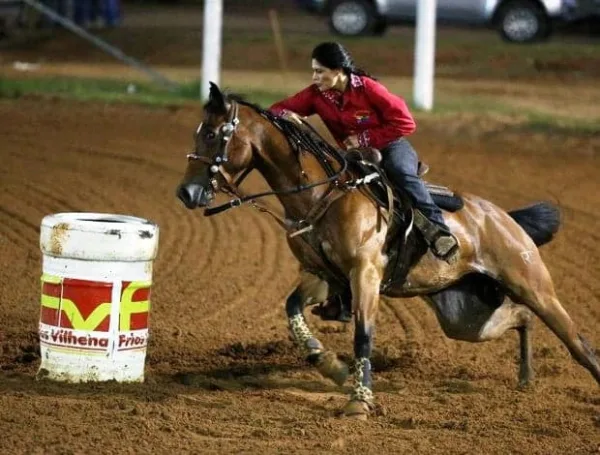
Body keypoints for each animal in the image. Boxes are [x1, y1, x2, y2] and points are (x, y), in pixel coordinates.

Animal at [177, 83, 600, 420]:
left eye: (213, 134)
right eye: (197, 133)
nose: (186, 193)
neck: (324, 195)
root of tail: (504, 218)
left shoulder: (364, 273)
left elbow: (363, 335)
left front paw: (359, 402)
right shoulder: (321, 275)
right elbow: (293, 311)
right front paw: (332, 367)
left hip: (533, 284)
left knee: (575, 341)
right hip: (465, 314)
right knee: (521, 317)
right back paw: (526, 378)